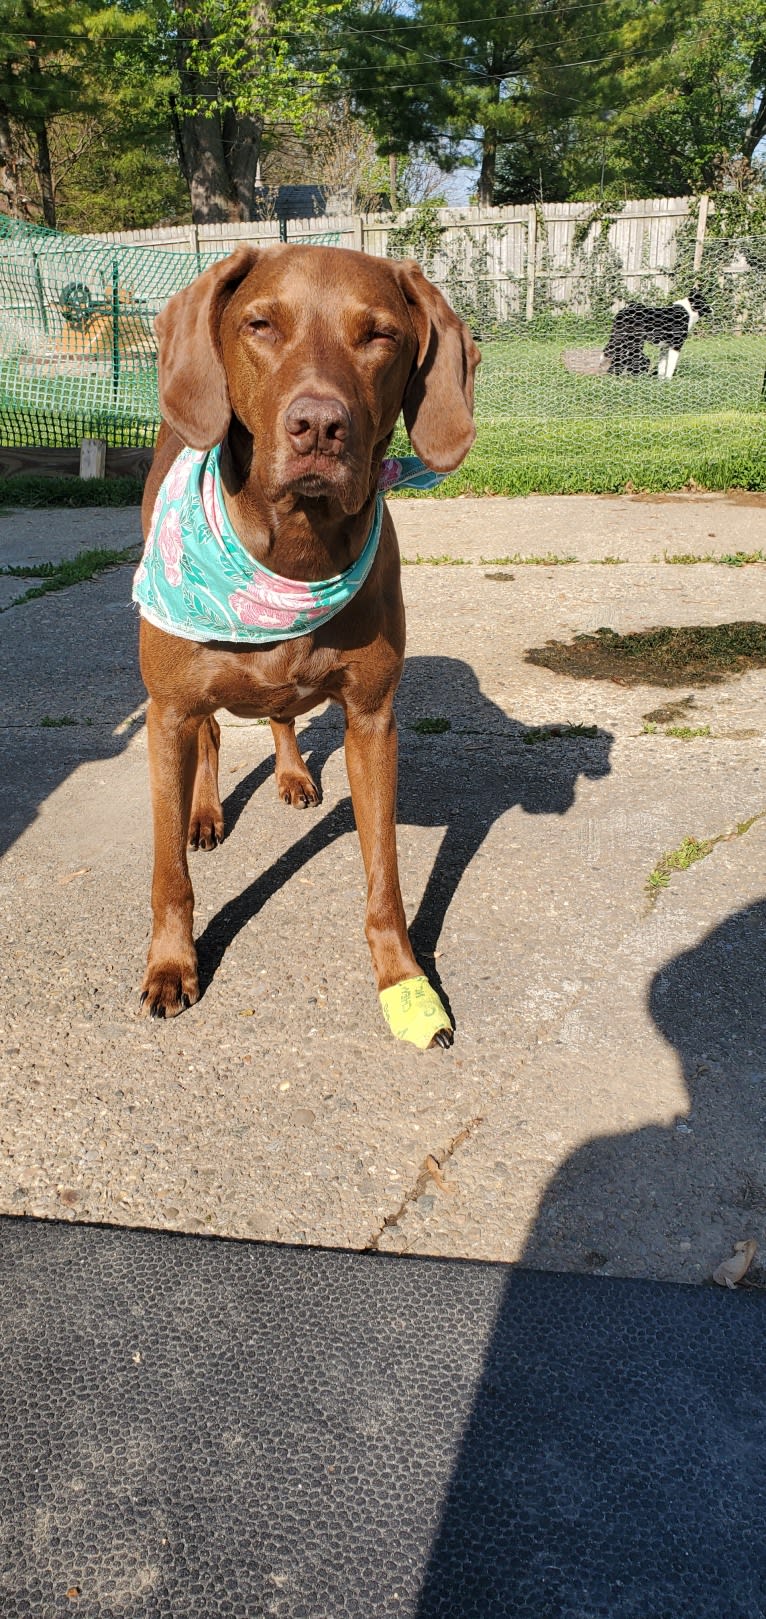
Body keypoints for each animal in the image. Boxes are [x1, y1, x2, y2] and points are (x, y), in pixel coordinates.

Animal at [137, 242, 479, 1049]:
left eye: (381, 335)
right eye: (261, 325)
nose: (319, 427)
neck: (292, 554)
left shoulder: (374, 720)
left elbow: (385, 875)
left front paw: (403, 978)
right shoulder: (165, 713)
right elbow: (168, 874)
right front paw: (172, 963)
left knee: (280, 714)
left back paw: (292, 772)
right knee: (213, 735)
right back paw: (206, 811)